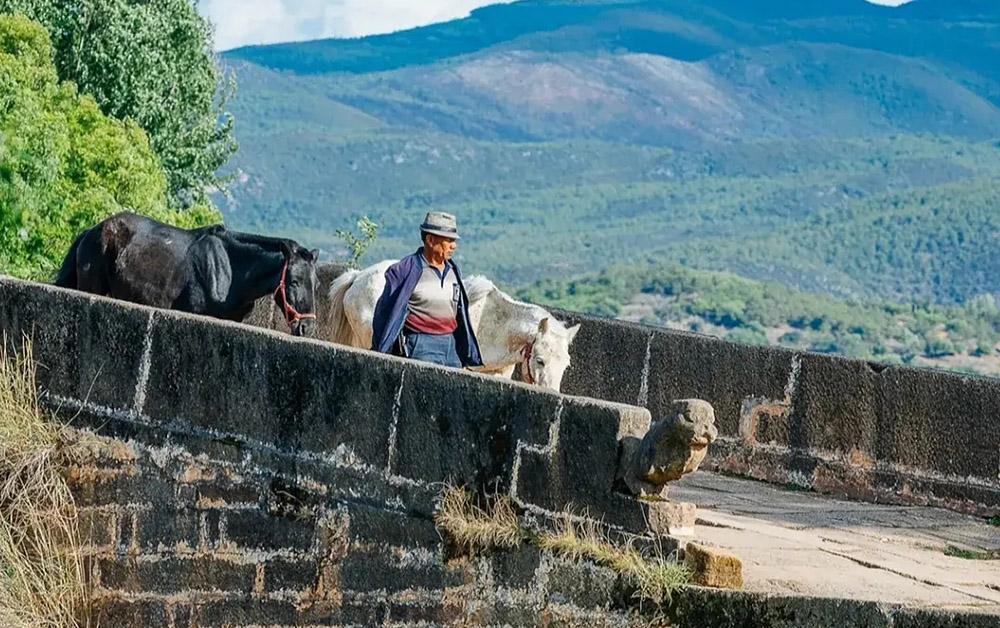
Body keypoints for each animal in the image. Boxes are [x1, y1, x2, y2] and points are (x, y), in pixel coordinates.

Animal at [54, 212, 320, 338]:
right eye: (294, 281)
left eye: (316, 283)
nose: (306, 327)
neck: (230, 271)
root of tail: (92, 230)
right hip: (92, 285)